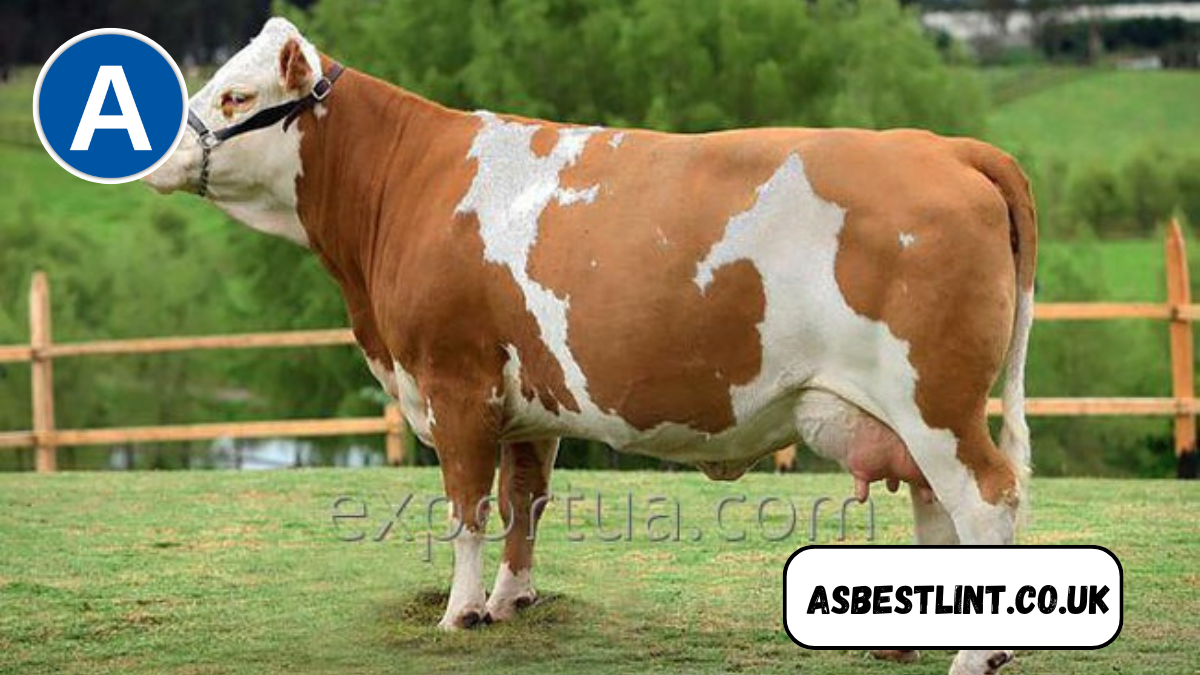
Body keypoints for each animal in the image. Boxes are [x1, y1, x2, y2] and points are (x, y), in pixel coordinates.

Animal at [144, 19, 1036, 675]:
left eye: (235, 92)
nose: (158, 149)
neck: (407, 186)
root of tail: (946, 146)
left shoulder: (454, 382)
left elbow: (466, 508)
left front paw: (458, 613)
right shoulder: (527, 403)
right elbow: (524, 502)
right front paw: (511, 601)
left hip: (938, 400)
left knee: (985, 499)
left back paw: (975, 656)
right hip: (913, 410)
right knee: (933, 503)